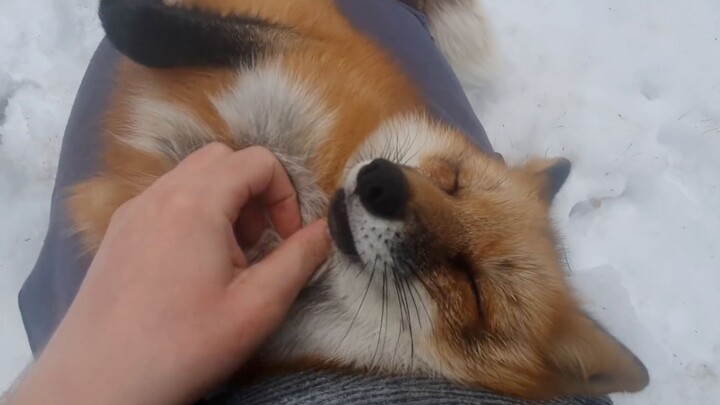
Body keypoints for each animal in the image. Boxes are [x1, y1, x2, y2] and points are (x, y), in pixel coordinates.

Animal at [67, 0, 649, 399]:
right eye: (451, 179)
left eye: (472, 287)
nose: (380, 184)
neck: (311, 185)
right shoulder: (299, 51)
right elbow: (169, 30)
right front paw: (122, 14)